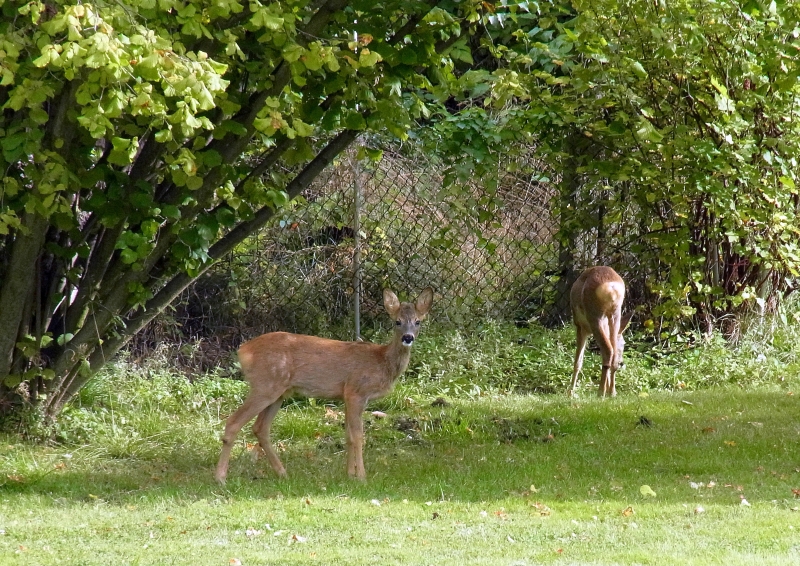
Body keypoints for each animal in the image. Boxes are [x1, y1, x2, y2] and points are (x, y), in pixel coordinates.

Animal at [212, 288, 434, 484]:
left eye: (418, 321)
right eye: (397, 321)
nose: (408, 337)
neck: (382, 361)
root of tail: (243, 351)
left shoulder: (345, 396)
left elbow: (348, 435)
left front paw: (349, 475)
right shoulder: (356, 391)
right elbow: (358, 436)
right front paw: (362, 477)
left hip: (278, 392)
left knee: (261, 428)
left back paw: (282, 473)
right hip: (265, 385)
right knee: (234, 422)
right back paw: (221, 477)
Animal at [568, 268, 632, 398]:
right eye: (624, 343)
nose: (622, 362)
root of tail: (612, 286)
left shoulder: (581, 327)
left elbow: (578, 362)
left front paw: (570, 392)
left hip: (595, 316)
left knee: (608, 350)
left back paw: (600, 393)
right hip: (615, 314)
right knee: (612, 353)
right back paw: (611, 392)